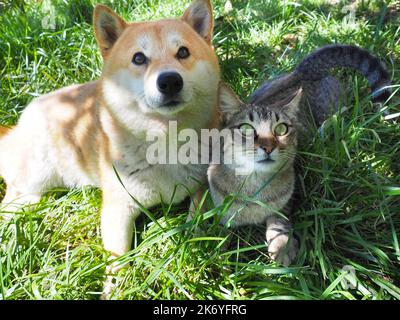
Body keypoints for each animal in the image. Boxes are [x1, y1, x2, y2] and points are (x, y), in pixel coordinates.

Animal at [0, 0, 219, 296]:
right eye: (139, 58)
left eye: (183, 52)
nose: (170, 81)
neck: (164, 143)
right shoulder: (118, 208)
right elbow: (117, 260)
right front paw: (116, 288)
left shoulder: (202, 185)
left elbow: (198, 217)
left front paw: (195, 245)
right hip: (35, 177)